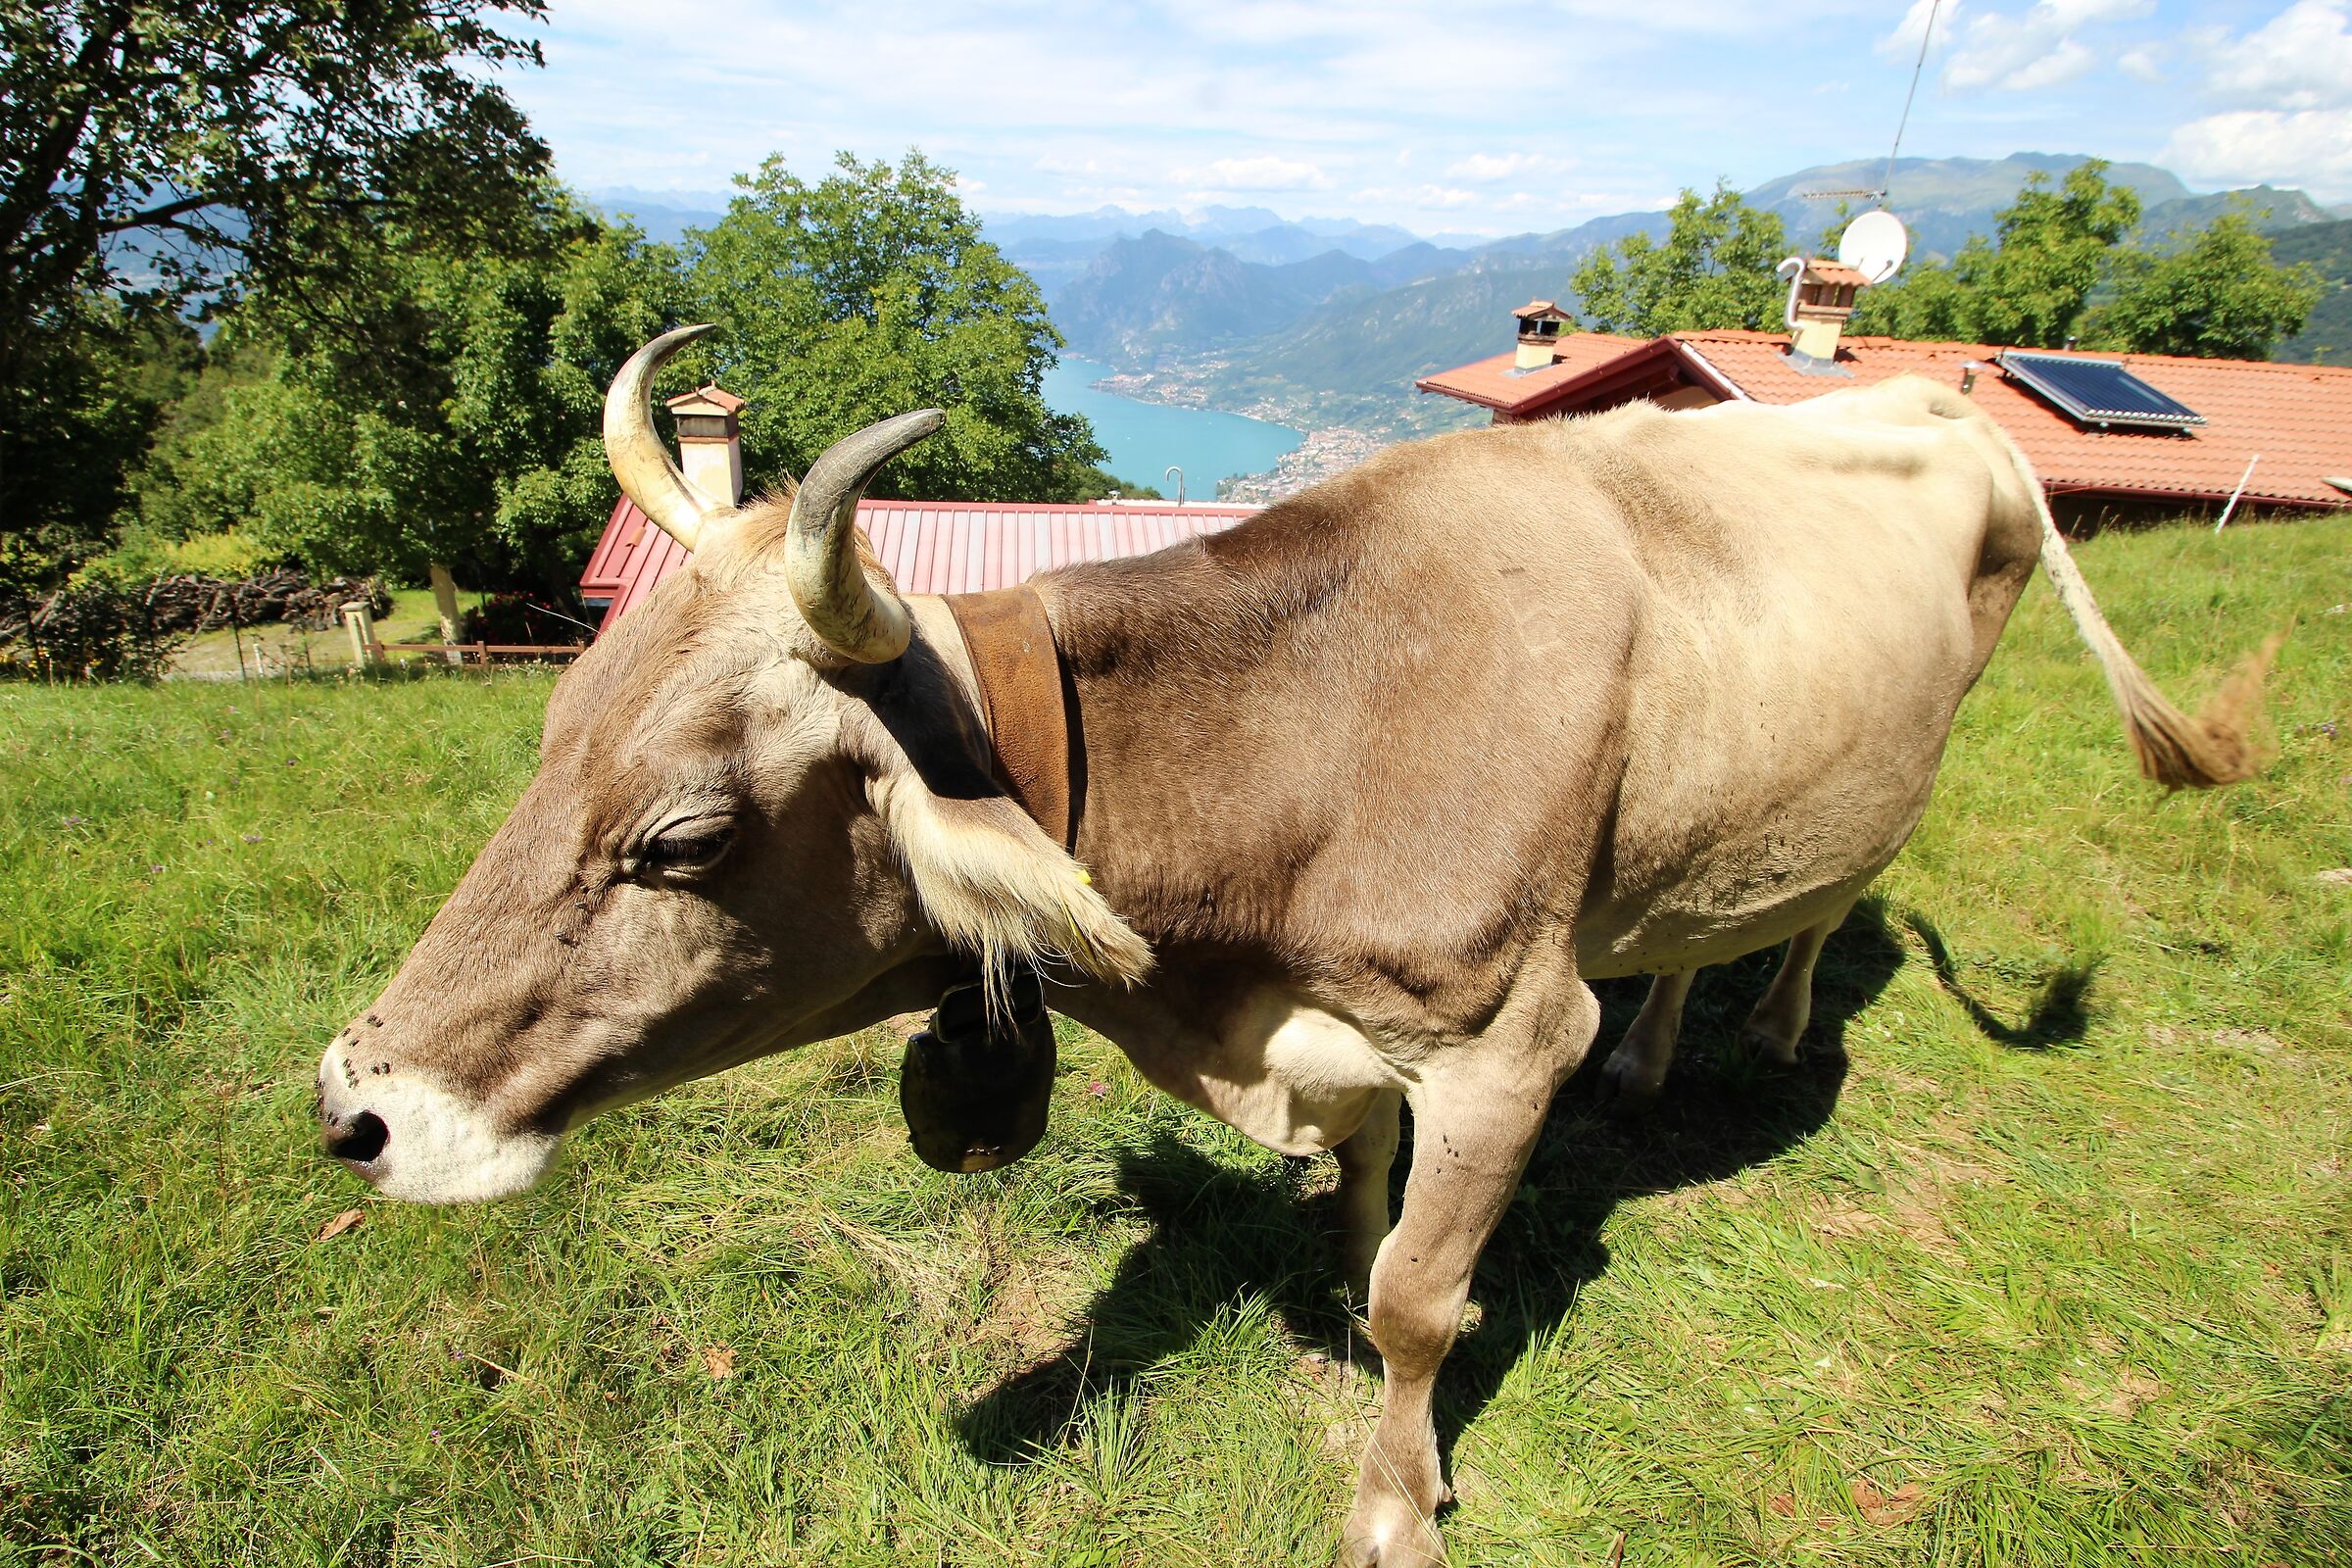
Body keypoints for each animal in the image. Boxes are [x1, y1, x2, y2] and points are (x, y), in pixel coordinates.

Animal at [316, 325, 2269, 1565]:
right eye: (554, 729)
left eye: (685, 842)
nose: (356, 1105)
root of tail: (1949, 399)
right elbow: (1362, 1194)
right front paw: (1338, 1257)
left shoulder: (1506, 1034)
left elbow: (1424, 1298)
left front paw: (1397, 1495)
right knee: (1701, 916)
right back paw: (1659, 1051)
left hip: (1905, 764)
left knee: (1830, 902)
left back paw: (1769, 1032)